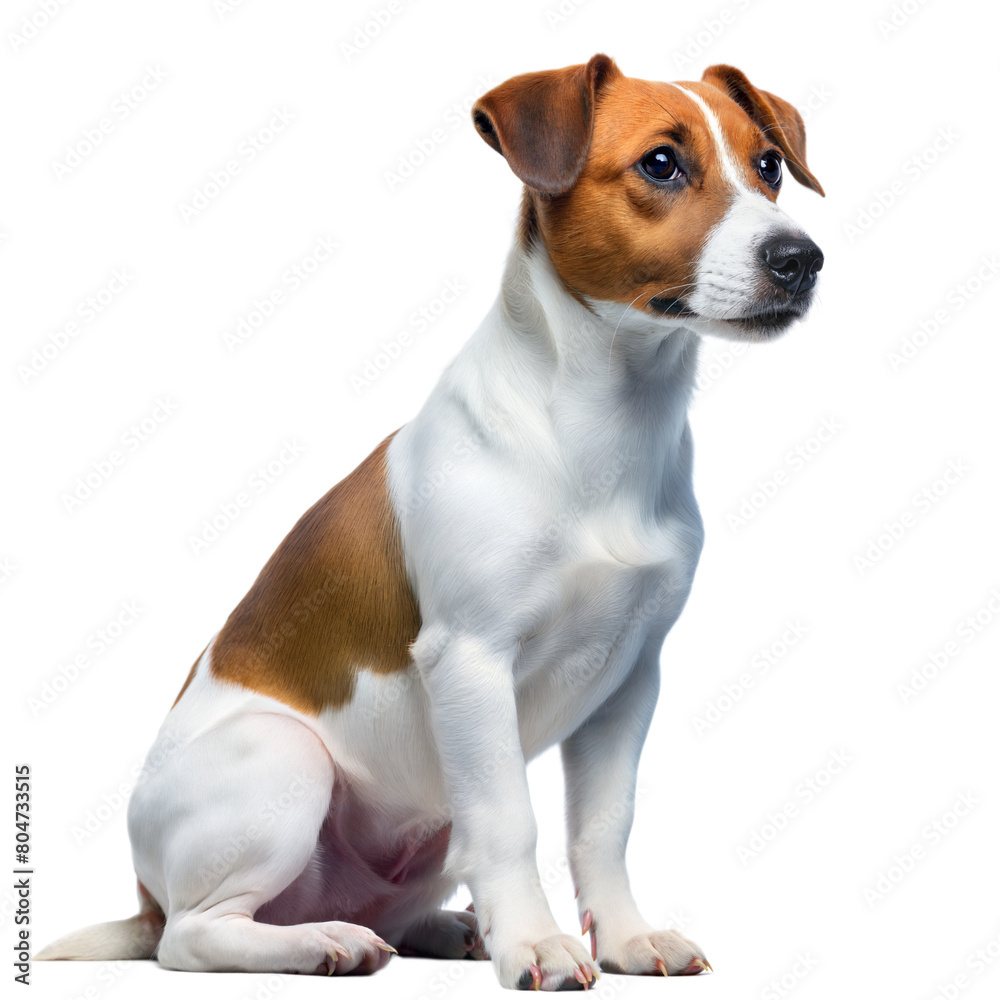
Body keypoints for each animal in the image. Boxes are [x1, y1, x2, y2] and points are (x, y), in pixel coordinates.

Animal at [37, 56, 820, 992]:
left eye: (770, 165)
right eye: (661, 164)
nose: (802, 258)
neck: (603, 427)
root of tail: (144, 895)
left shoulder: (631, 678)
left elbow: (604, 825)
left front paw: (626, 938)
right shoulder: (472, 661)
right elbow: (512, 823)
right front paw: (537, 946)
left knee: (402, 900)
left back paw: (446, 929)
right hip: (285, 762)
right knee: (192, 937)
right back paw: (321, 944)